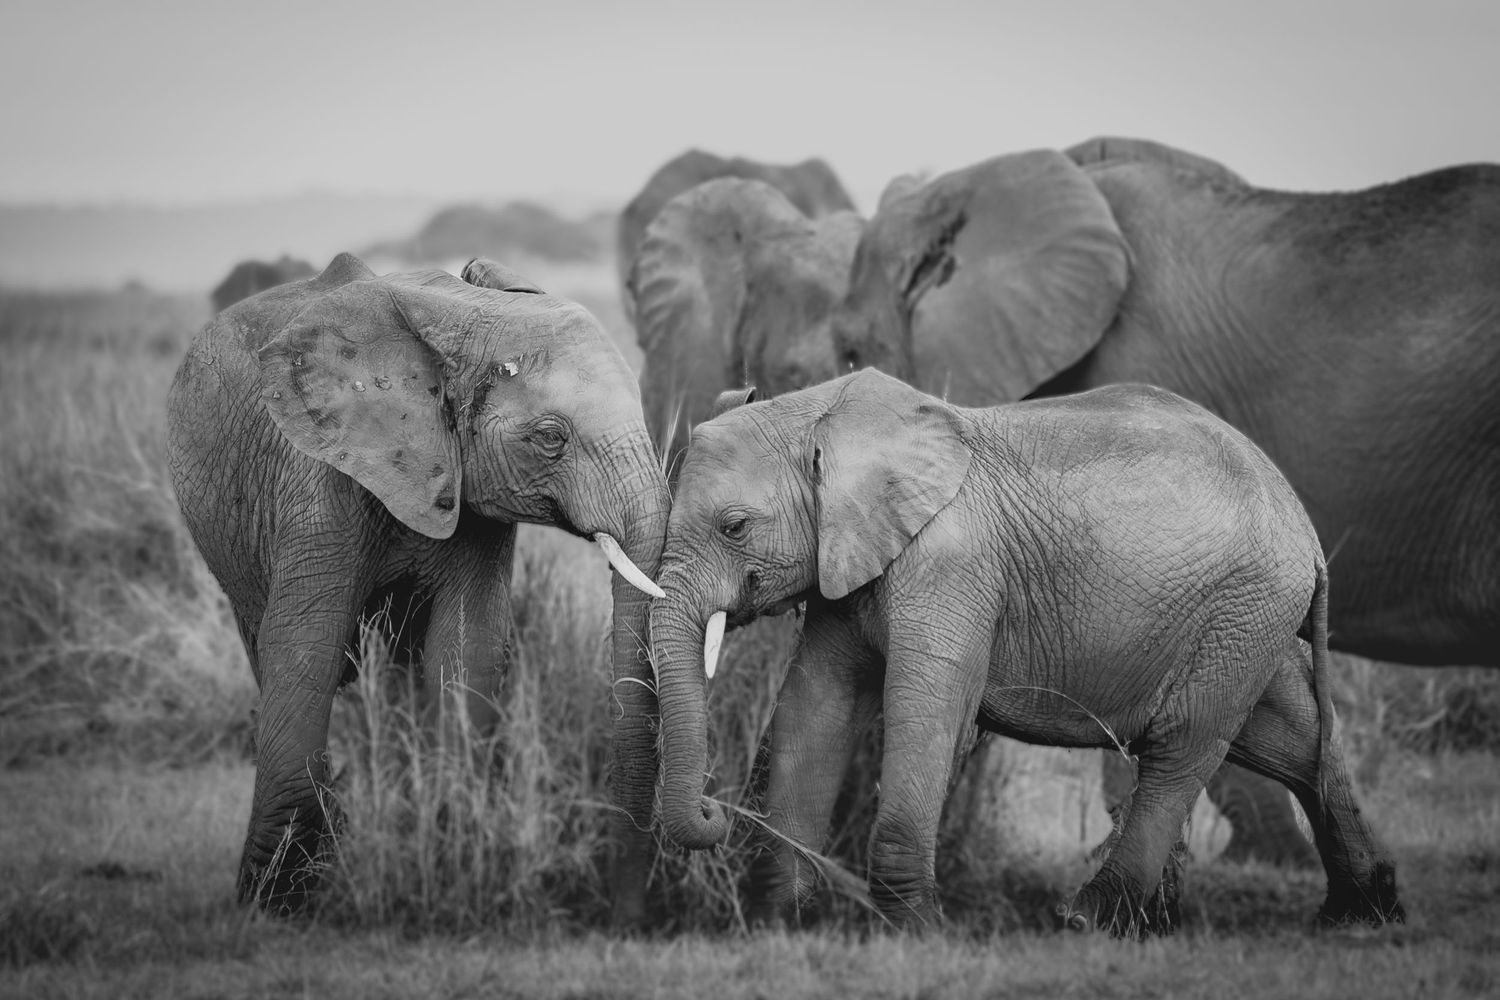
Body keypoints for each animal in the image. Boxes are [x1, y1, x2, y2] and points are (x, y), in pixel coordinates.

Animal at [167, 253, 669, 919]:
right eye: (550, 438)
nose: (626, 917)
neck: (462, 318)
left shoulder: (475, 503)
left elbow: (466, 648)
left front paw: (448, 846)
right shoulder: (321, 475)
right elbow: (306, 648)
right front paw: (277, 901)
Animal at [649, 368, 1404, 935]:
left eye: (734, 526)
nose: (717, 810)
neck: (821, 414)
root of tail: (1304, 527)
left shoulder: (951, 563)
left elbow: (925, 709)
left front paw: (915, 933)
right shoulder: (849, 563)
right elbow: (818, 708)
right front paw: (776, 924)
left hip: (1243, 607)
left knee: (1184, 746)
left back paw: (1085, 921)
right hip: (1251, 619)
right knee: (1294, 739)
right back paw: (1362, 916)